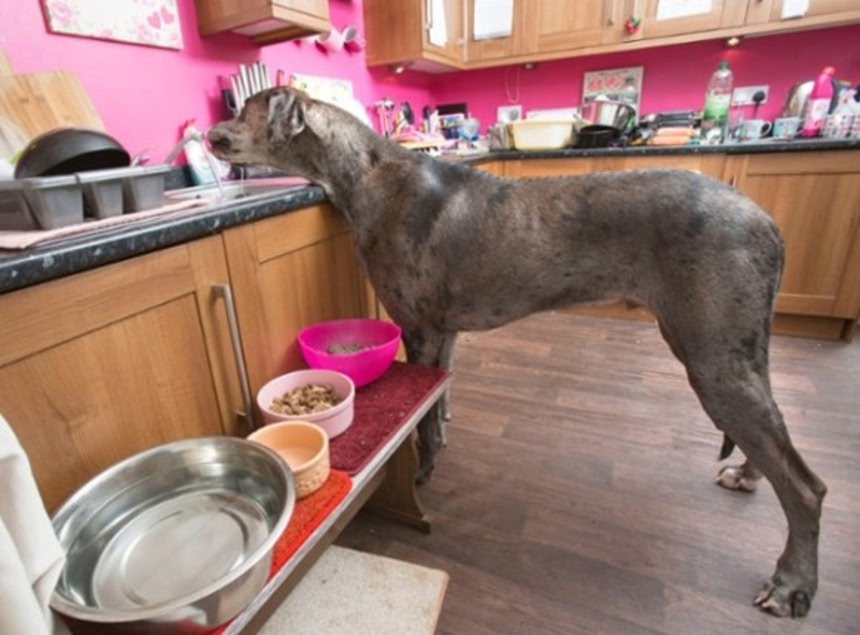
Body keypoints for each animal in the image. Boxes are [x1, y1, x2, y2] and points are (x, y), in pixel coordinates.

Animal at [209, 86, 827, 619]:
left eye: (244, 109)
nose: (210, 133)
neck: (366, 170)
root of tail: (766, 220)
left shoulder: (420, 329)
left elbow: (424, 421)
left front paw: (426, 469)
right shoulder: (445, 333)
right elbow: (442, 397)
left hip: (713, 359)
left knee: (806, 486)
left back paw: (791, 581)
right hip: (725, 350)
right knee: (774, 438)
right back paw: (747, 474)